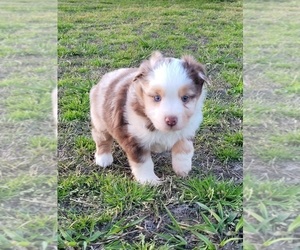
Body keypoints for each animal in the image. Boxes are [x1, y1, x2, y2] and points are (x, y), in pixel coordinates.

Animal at [90, 51, 207, 184]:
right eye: (157, 98)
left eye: (185, 98)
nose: (171, 120)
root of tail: (107, 76)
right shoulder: (134, 140)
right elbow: (143, 163)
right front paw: (149, 181)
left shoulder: (187, 130)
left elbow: (184, 149)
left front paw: (183, 169)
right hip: (99, 120)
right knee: (102, 139)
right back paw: (103, 159)